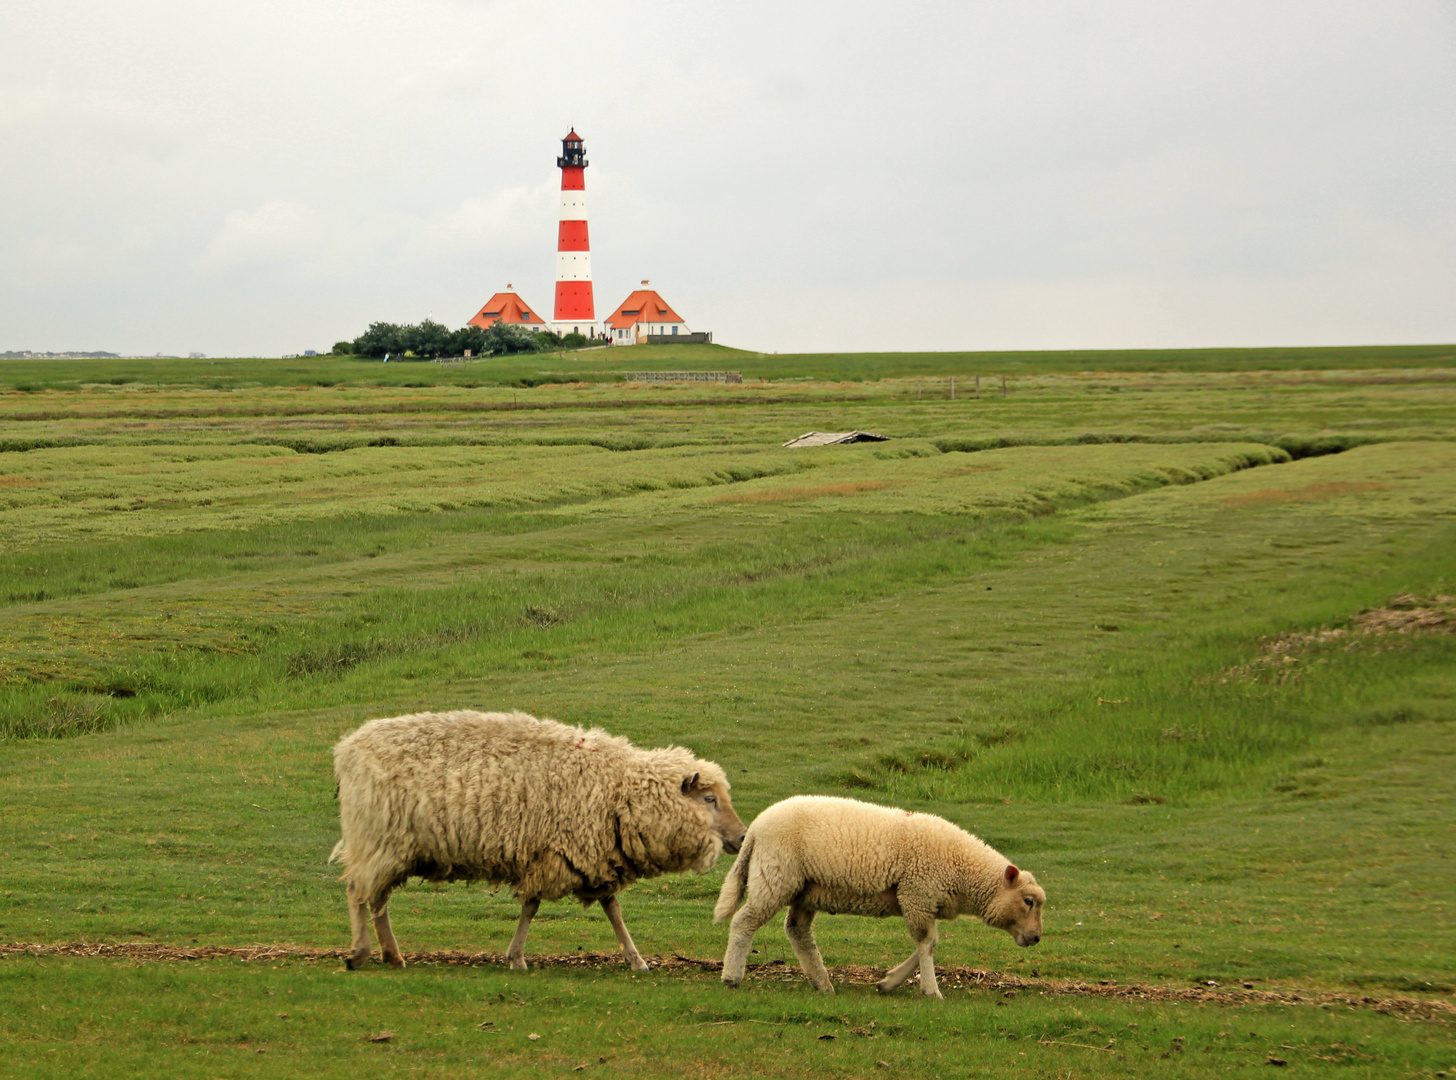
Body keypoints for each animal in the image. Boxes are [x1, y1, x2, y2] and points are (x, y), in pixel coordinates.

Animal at [333, 716, 745, 978]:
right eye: (709, 799)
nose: (742, 837)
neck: (615, 790)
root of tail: (348, 749)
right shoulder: (553, 851)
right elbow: (532, 907)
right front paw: (517, 959)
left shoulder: (590, 856)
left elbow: (612, 910)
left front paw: (635, 959)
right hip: (377, 838)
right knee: (358, 892)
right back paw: (360, 953)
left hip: (389, 847)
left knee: (376, 898)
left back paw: (391, 956)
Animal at [710, 797, 1042, 995]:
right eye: (1028, 902)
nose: (1037, 937)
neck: (963, 870)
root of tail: (755, 828)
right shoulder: (917, 894)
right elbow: (926, 943)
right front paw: (932, 990)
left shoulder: (922, 902)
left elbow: (930, 942)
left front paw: (889, 981)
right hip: (776, 877)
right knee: (744, 922)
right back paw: (731, 976)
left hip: (806, 889)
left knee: (797, 931)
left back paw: (822, 982)